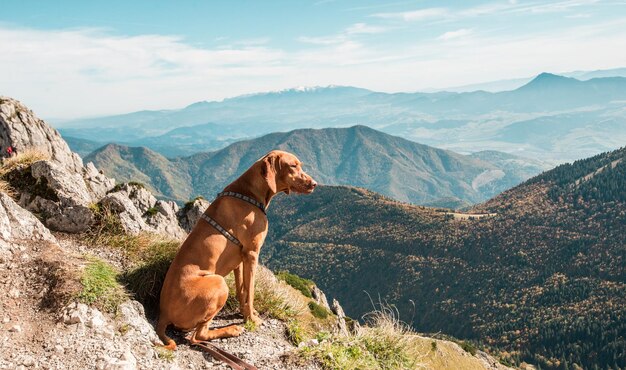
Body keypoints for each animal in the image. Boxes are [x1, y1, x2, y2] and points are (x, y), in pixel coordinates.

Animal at [156, 150, 316, 350]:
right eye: (293, 166)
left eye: (299, 164)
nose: (314, 184)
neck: (249, 193)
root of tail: (163, 314)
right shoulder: (252, 254)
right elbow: (251, 291)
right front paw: (252, 319)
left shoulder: (240, 259)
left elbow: (242, 291)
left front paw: (245, 313)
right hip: (218, 283)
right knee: (198, 335)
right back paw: (231, 330)